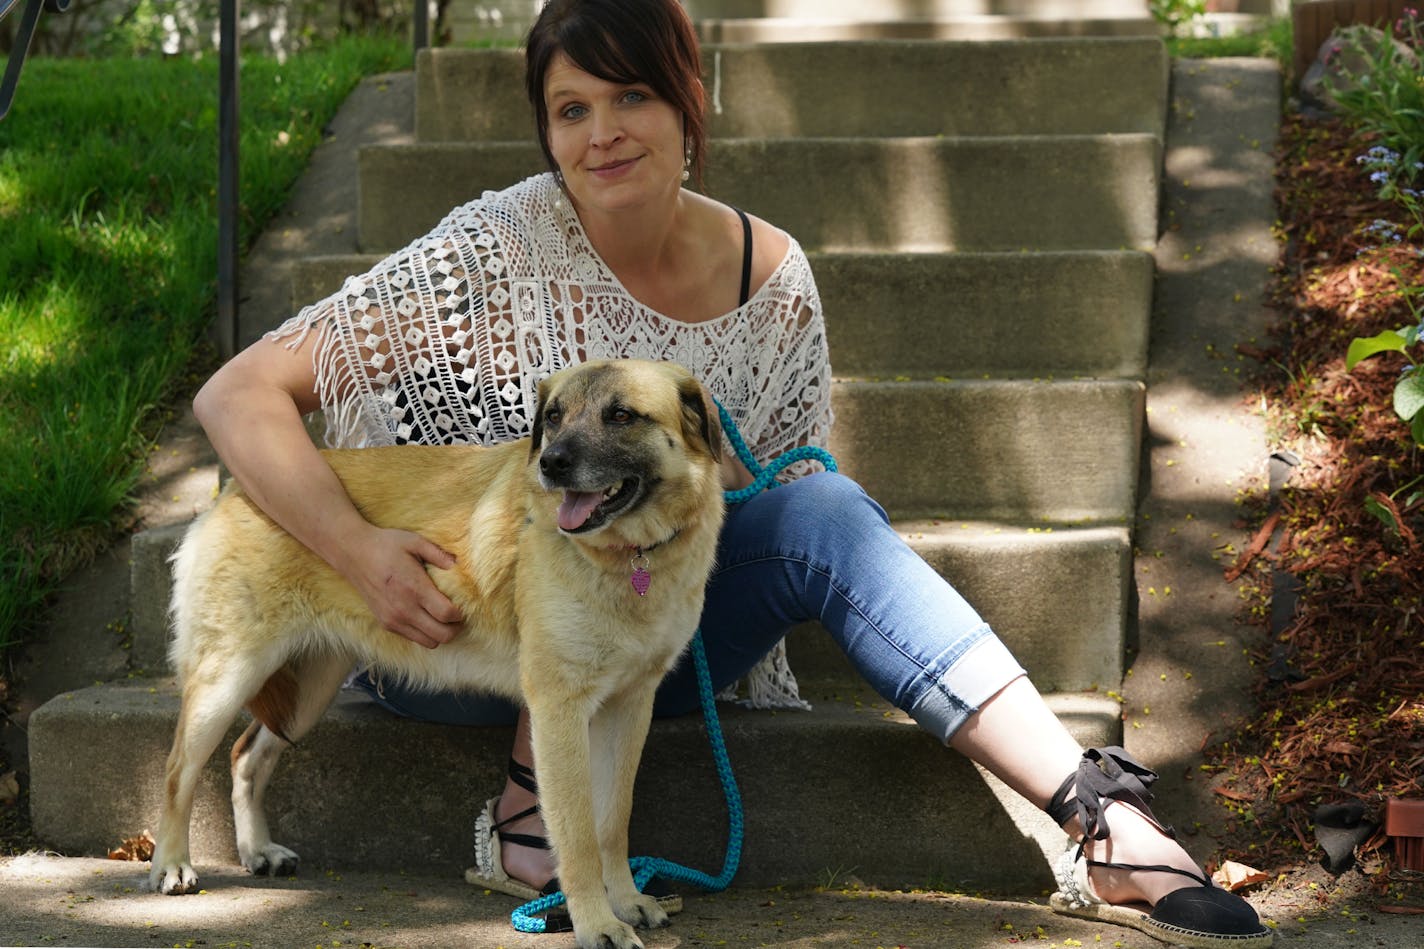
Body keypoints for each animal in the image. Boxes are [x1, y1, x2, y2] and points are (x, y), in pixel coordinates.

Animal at [150, 356, 729, 946]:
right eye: (555, 416)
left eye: (621, 415)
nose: (551, 463)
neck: (631, 557)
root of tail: (234, 489)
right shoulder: (559, 710)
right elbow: (577, 835)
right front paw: (596, 922)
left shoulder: (629, 706)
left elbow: (613, 822)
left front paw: (627, 901)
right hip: (228, 679)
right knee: (177, 770)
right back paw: (172, 864)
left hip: (309, 689)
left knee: (247, 756)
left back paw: (256, 850)